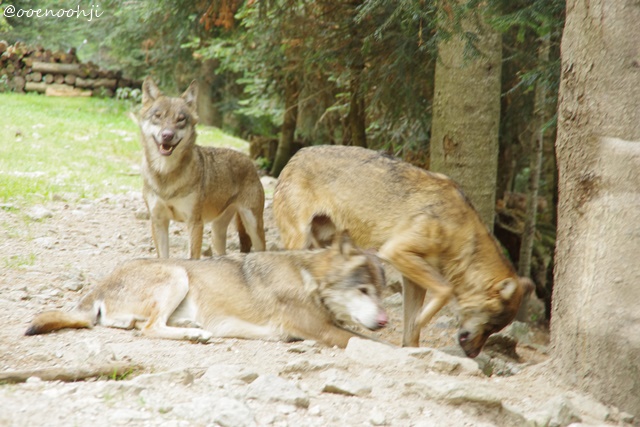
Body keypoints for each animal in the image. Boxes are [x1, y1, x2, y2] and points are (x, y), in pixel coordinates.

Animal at [25, 226, 388, 348]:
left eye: (381, 293)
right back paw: (194, 334)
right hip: (177, 275)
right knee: (150, 329)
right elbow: (377, 344)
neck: (308, 278)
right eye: (363, 291)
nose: (385, 320)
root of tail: (99, 286)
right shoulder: (325, 331)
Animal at [137, 77, 266, 258]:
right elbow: (163, 257)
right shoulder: (158, 221)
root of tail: (249, 161)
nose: (167, 135)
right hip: (217, 235)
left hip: (254, 227)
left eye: (180, 119)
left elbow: (192, 257)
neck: (166, 174)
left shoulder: (195, 223)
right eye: (158, 116)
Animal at [273, 145, 531, 357]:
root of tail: (296, 155)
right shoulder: (396, 252)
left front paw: (412, 349)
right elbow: (444, 291)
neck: (461, 234)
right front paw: (418, 322)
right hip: (299, 241)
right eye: (491, 326)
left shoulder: (412, 277)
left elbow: (413, 328)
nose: (473, 354)